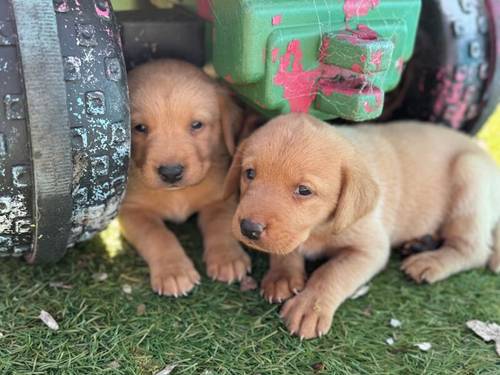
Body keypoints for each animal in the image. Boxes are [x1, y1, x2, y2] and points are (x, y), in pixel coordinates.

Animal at [119, 60, 252, 298]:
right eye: (140, 127)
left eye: (197, 125)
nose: (171, 172)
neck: (177, 194)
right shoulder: (131, 210)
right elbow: (157, 235)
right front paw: (174, 270)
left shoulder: (221, 199)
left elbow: (220, 224)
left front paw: (228, 257)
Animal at [225, 113, 498, 340]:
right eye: (249, 173)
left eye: (304, 190)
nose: (249, 228)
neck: (319, 229)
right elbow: (286, 248)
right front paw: (282, 275)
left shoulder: (370, 250)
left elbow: (332, 273)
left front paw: (310, 307)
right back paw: (420, 243)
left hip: (470, 176)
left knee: (473, 249)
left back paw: (429, 261)